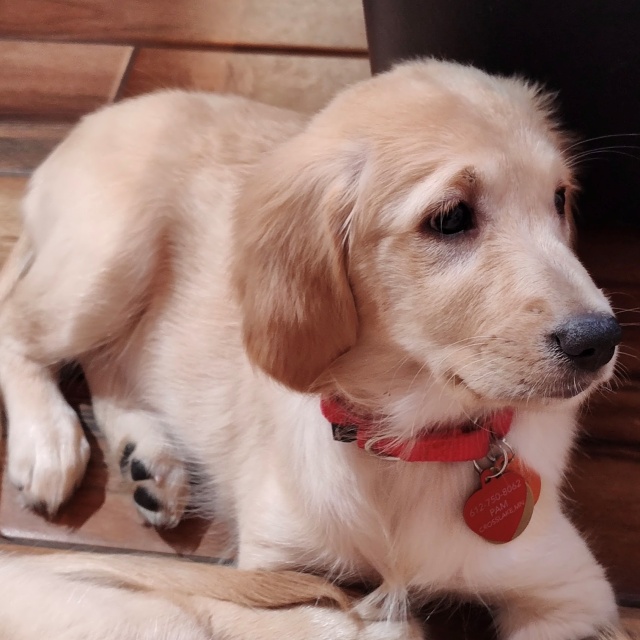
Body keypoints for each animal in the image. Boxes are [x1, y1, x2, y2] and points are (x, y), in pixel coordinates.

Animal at [0, 59, 629, 639]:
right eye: (451, 218)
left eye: (559, 199)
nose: (600, 341)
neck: (408, 443)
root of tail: (90, 125)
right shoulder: (275, 564)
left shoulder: (572, 592)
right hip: (107, 261)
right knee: (19, 328)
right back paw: (48, 442)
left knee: (105, 358)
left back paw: (147, 459)